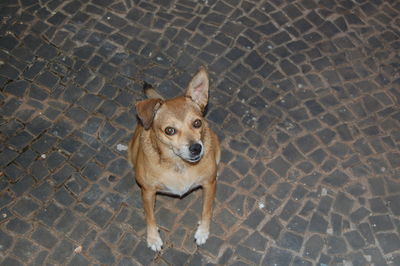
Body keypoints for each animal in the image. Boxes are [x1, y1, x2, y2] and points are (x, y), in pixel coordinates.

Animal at [128, 67, 220, 250]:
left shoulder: (208, 184)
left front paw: (203, 232)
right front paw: (153, 238)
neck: (179, 165)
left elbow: (206, 210)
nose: (196, 148)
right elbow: (150, 217)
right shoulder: (148, 192)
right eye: (169, 130)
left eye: (197, 123)